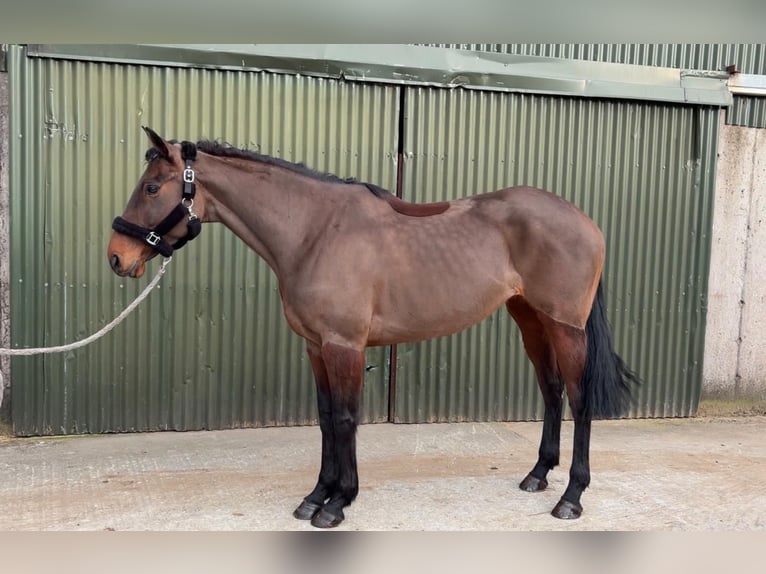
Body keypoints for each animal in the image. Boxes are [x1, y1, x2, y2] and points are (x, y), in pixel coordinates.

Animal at [107, 126, 638, 528]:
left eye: (152, 187)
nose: (117, 256)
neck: (315, 231)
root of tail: (584, 221)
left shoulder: (345, 347)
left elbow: (346, 419)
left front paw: (338, 502)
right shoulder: (316, 347)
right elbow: (326, 419)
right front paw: (316, 495)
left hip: (565, 326)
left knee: (579, 399)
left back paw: (571, 496)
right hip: (530, 319)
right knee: (551, 391)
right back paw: (538, 475)